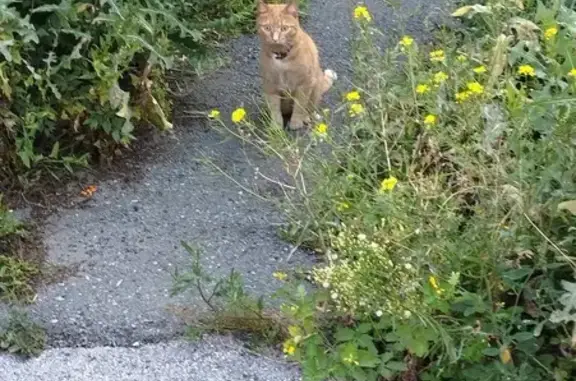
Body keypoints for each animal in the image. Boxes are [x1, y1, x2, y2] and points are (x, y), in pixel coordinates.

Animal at [258, 0, 338, 129]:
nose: (275, 39)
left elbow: (299, 106)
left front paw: (296, 123)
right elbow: (275, 109)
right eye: (267, 28)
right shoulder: (270, 85)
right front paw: (276, 126)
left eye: (284, 28)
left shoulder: (304, 84)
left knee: (309, 109)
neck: (281, 59)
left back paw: (306, 118)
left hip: (315, 87)